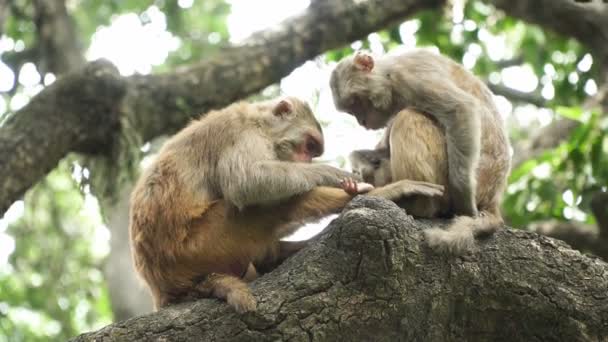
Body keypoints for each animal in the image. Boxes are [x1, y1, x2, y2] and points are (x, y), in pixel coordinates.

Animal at [128, 96, 444, 312]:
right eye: (308, 146)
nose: (306, 161)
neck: (259, 123)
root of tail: (159, 284)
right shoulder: (240, 132)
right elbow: (246, 182)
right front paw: (334, 174)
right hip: (198, 245)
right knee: (265, 206)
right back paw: (382, 194)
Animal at [328, 48, 504, 218]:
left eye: (355, 102)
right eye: (351, 111)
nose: (362, 121)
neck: (389, 76)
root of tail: (492, 198)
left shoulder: (411, 77)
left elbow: (460, 109)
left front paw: (464, 203)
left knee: (407, 117)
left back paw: (418, 205)